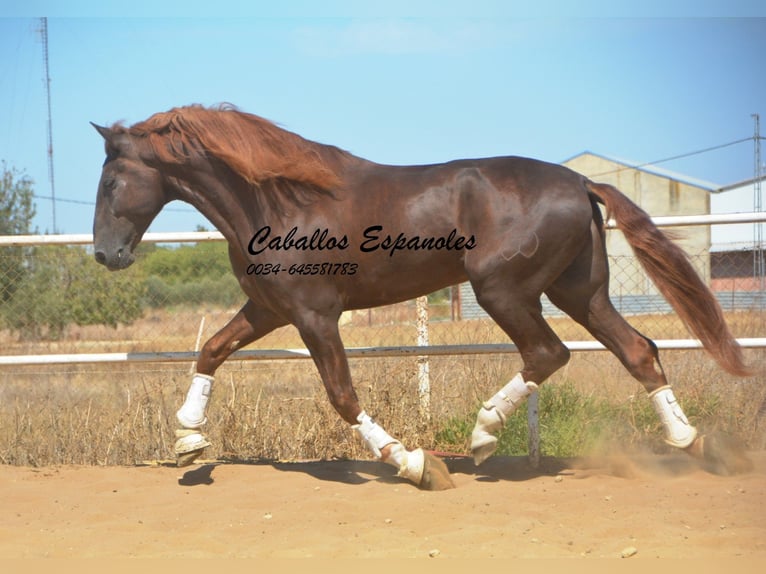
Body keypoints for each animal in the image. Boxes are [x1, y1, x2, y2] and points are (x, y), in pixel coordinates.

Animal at [91, 104, 756, 490]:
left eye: (112, 180)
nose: (105, 255)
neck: (278, 202)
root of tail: (579, 180)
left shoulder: (313, 315)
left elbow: (341, 395)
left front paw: (414, 464)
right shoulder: (269, 310)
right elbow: (210, 352)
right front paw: (188, 440)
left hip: (503, 290)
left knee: (548, 354)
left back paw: (483, 437)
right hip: (578, 292)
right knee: (637, 350)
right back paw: (690, 444)